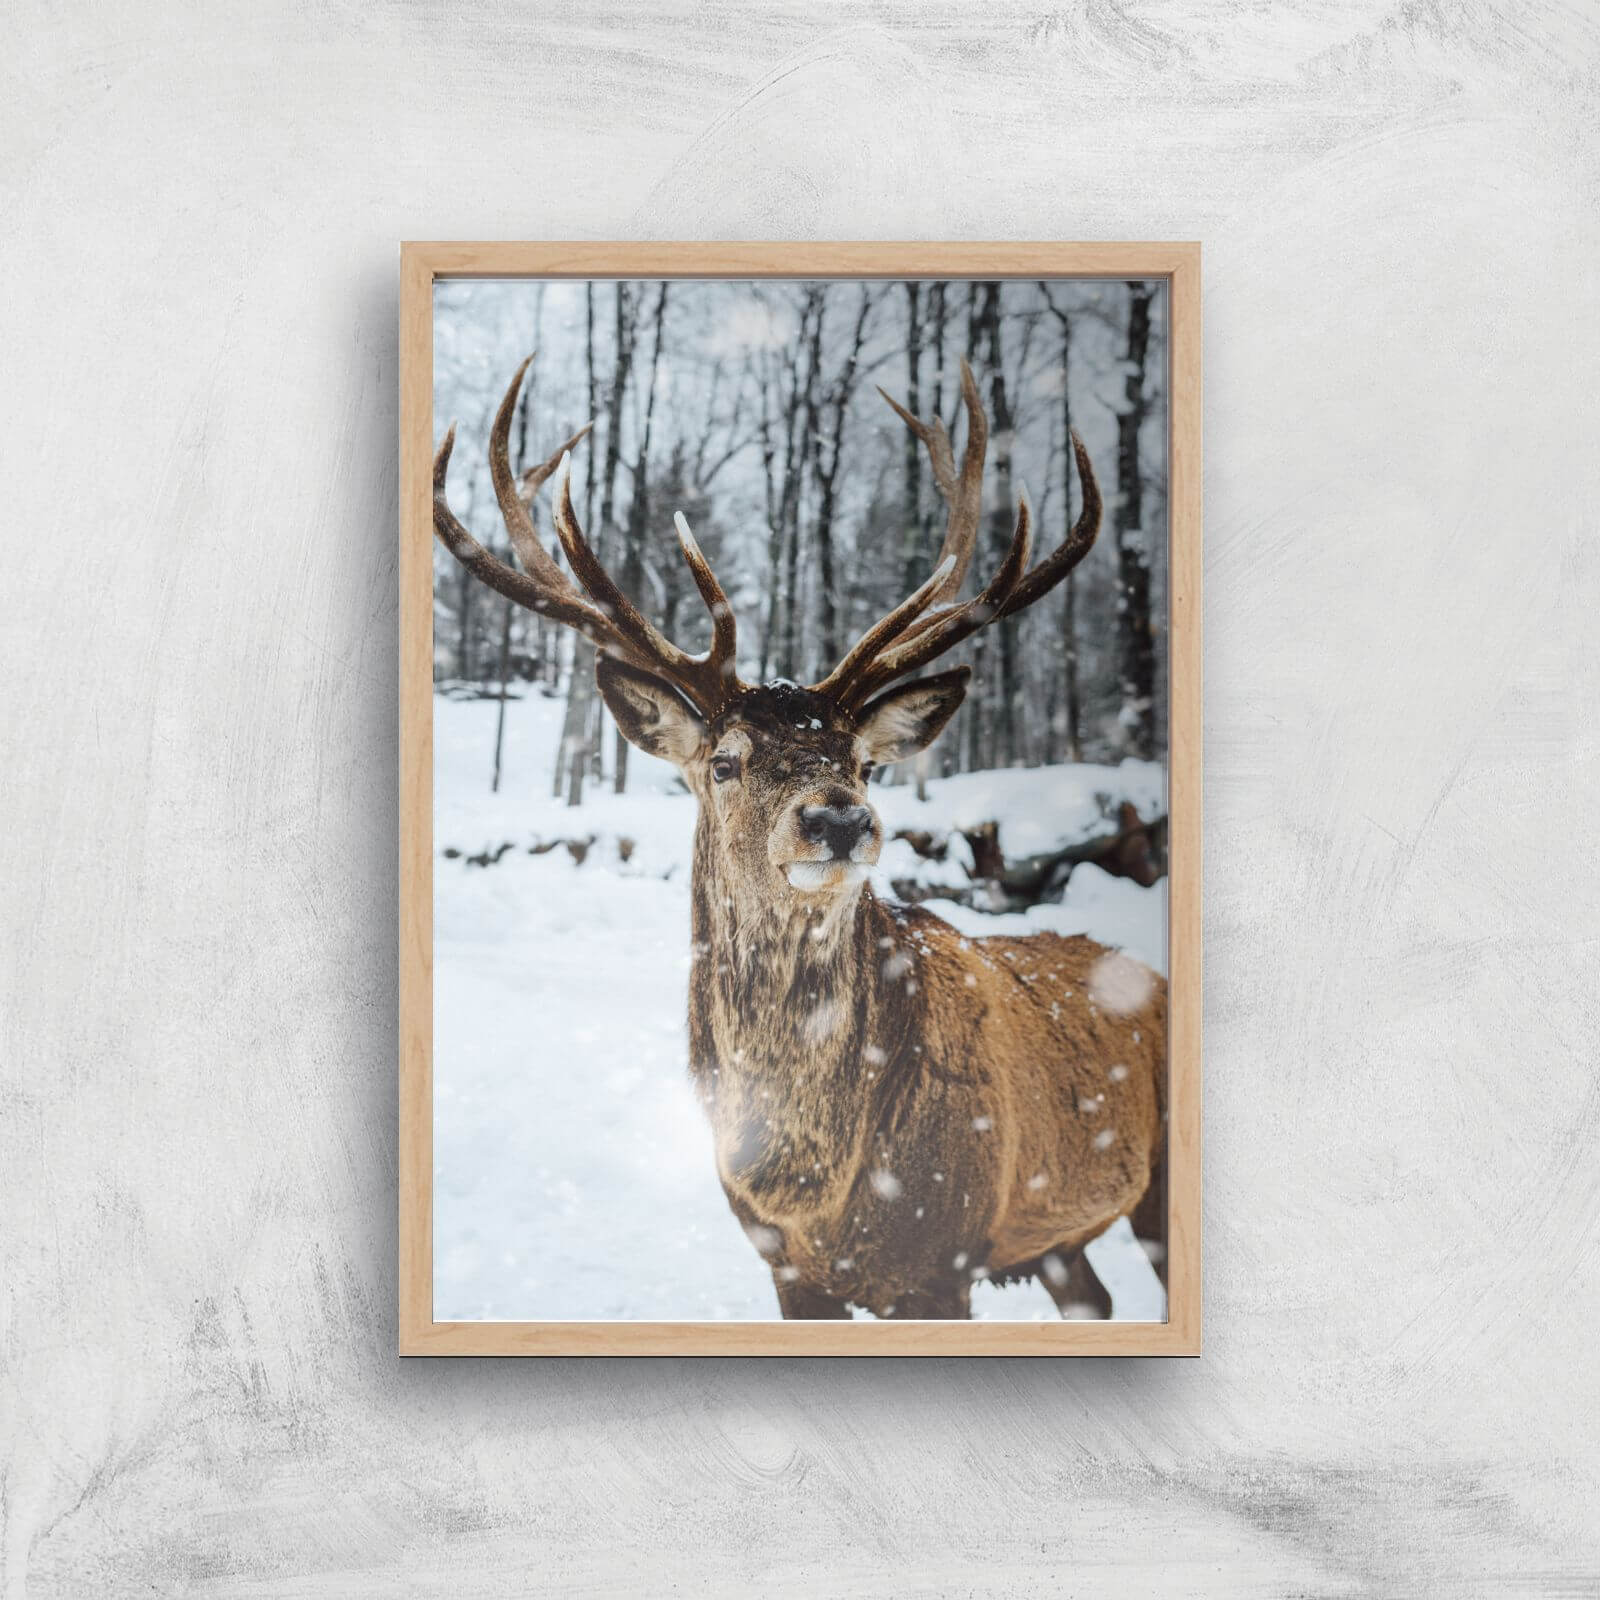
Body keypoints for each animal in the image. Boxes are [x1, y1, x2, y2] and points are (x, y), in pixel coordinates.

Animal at [433, 353, 1167, 1320]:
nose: (838, 817)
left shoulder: (947, 1261)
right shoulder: (783, 1265)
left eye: (864, 763)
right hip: (1059, 1246)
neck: (814, 1188)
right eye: (724, 761)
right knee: (1097, 1297)